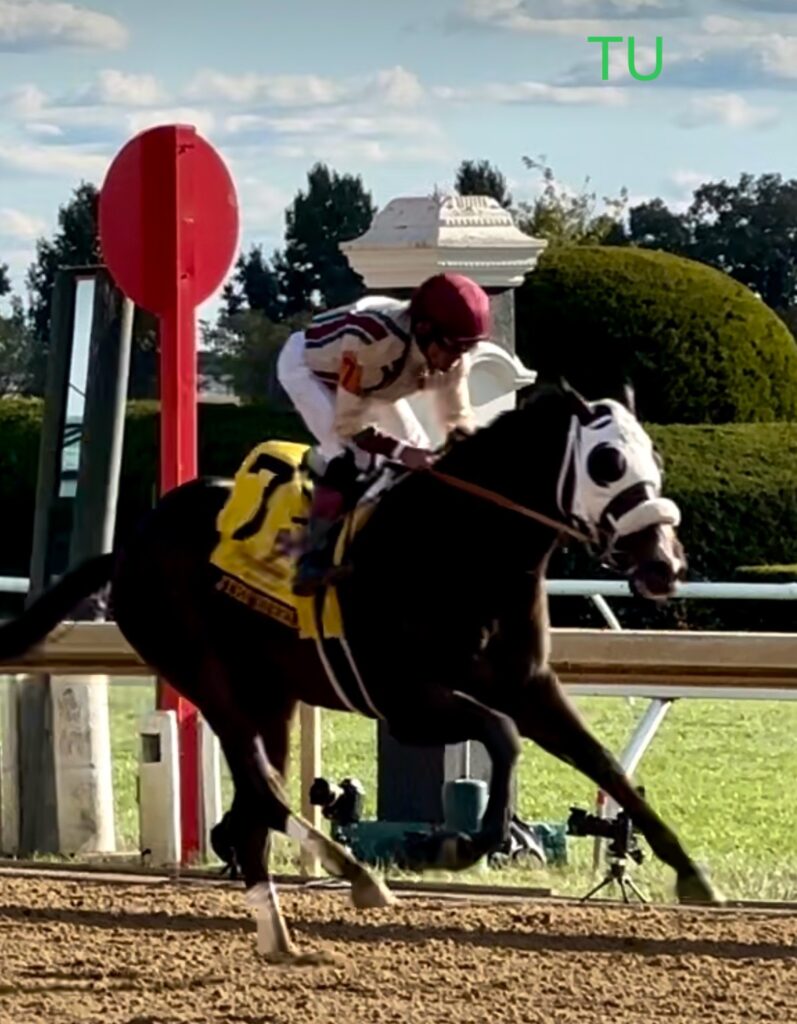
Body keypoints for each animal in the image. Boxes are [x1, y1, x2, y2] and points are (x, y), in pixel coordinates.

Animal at [0, 380, 721, 954]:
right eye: (606, 460)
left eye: (654, 455)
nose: (665, 564)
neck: (461, 546)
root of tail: (126, 548)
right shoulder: (403, 701)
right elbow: (502, 736)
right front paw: (459, 845)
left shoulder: (528, 685)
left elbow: (600, 763)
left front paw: (691, 872)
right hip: (206, 675)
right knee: (263, 794)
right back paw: (354, 875)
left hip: (271, 696)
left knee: (250, 815)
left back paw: (281, 938)